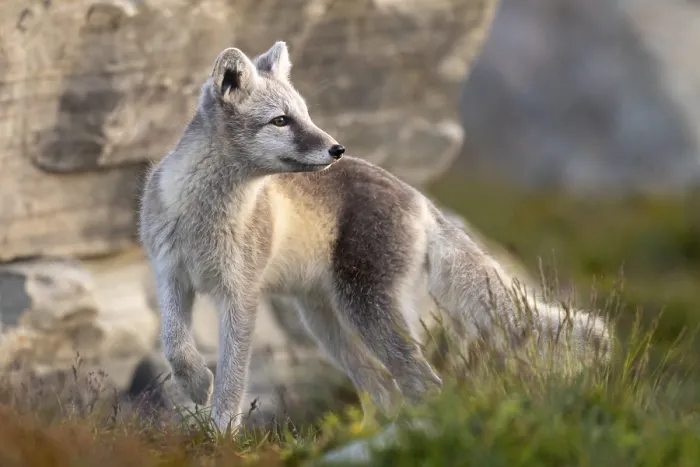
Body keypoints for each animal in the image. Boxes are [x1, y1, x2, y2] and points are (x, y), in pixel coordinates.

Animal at [139, 41, 612, 432]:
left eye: (305, 114)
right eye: (280, 121)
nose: (336, 149)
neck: (203, 216)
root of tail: (420, 198)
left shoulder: (241, 294)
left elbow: (232, 383)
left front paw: (220, 439)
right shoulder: (170, 276)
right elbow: (174, 345)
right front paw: (195, 384)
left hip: (365, 309)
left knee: (422, 382)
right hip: (328, 324)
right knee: (384, 389)